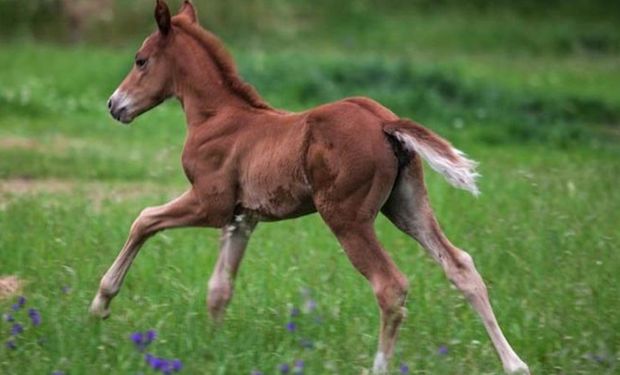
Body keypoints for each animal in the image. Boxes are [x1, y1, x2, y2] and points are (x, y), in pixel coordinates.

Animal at [89, 1, 532, 374]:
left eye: (141, 60)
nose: (114, 105)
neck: (219, 117)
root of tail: (384, 122)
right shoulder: (242, 217)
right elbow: (219, 287)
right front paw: (213, 348)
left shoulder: (209, 204)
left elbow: (144, 219)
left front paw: (100, 304)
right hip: (407, 205)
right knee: (461, 266)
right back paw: (515, 364)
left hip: (346, 218)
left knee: (390, 286)